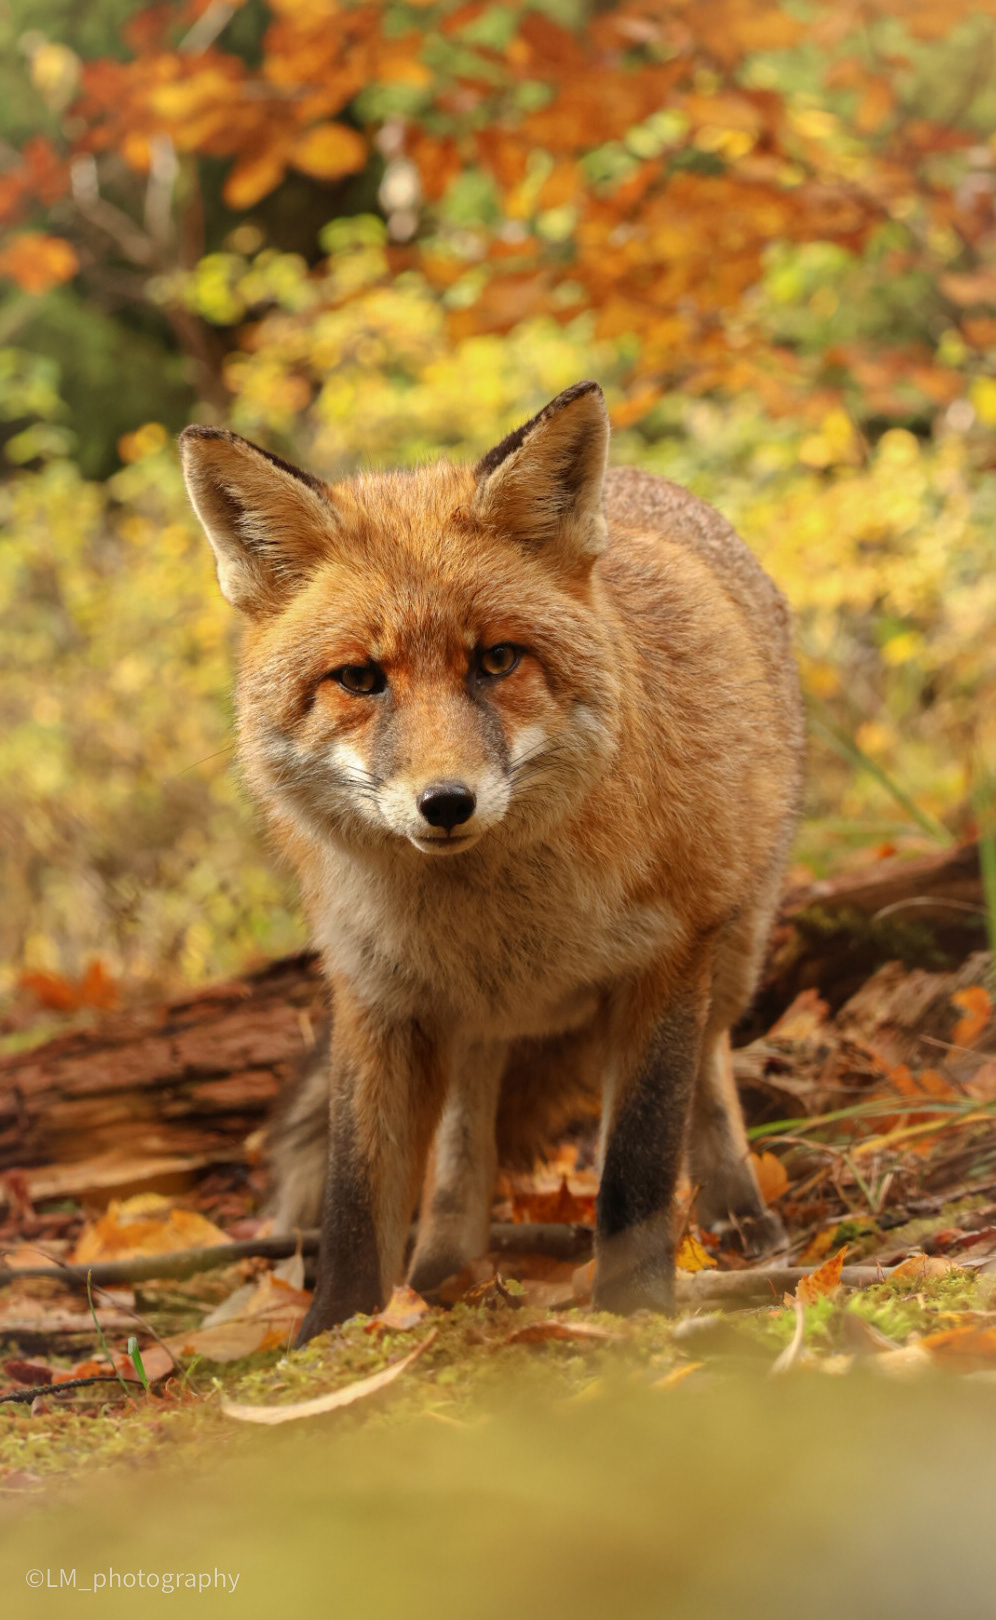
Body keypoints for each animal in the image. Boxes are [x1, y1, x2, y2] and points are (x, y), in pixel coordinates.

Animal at [179, 380, 804, 1342]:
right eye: (360, 679)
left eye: (498, 659)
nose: (446, 804)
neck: (493, 918)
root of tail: (653, 487)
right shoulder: (375, 989)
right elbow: (357, 1191)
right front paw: (333, 1337)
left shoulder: (665, 960)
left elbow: (638, 1163)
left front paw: (634, 1316)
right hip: (472, 1021)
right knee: (463, 1135)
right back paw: (445, 1266)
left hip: (731, 949)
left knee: (708, 1071)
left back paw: (737, 1208)